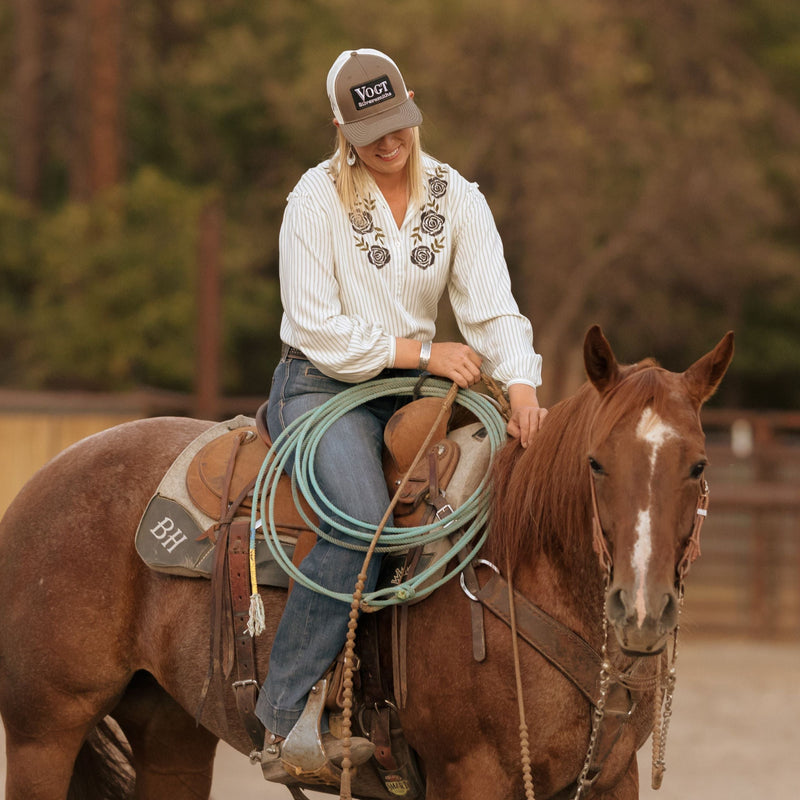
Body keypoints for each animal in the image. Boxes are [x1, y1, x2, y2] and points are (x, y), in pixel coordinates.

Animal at [0, 324, 732, 800]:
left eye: (698, 465)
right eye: (596, 463)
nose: (642, 611)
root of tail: (43, 480)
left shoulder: (612, 778)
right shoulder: (473, 773)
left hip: (171, 727)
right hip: (43, 730)